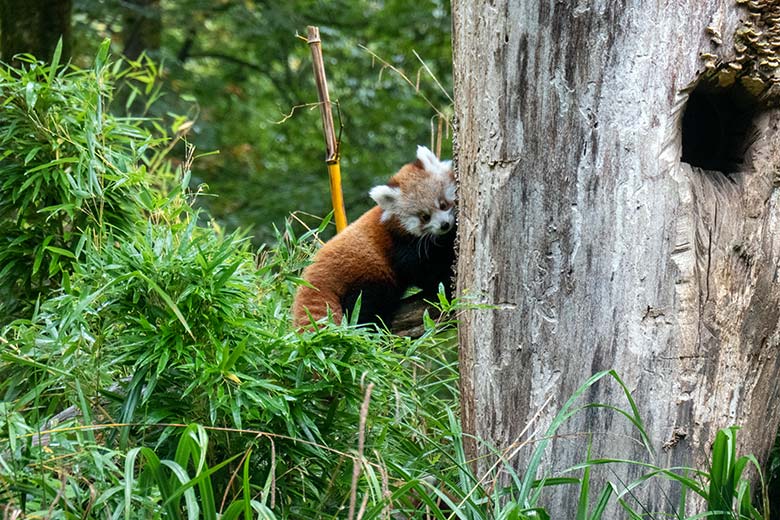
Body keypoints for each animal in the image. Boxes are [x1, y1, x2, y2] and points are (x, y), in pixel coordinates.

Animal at [296, 144, 460, 328]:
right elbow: (425, 271)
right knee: (363, 306)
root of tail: (314, 276)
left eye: (443, 204)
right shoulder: (402, 247)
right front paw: (446, 282)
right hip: (365, 275)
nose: (444, 225)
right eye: (425, 217)